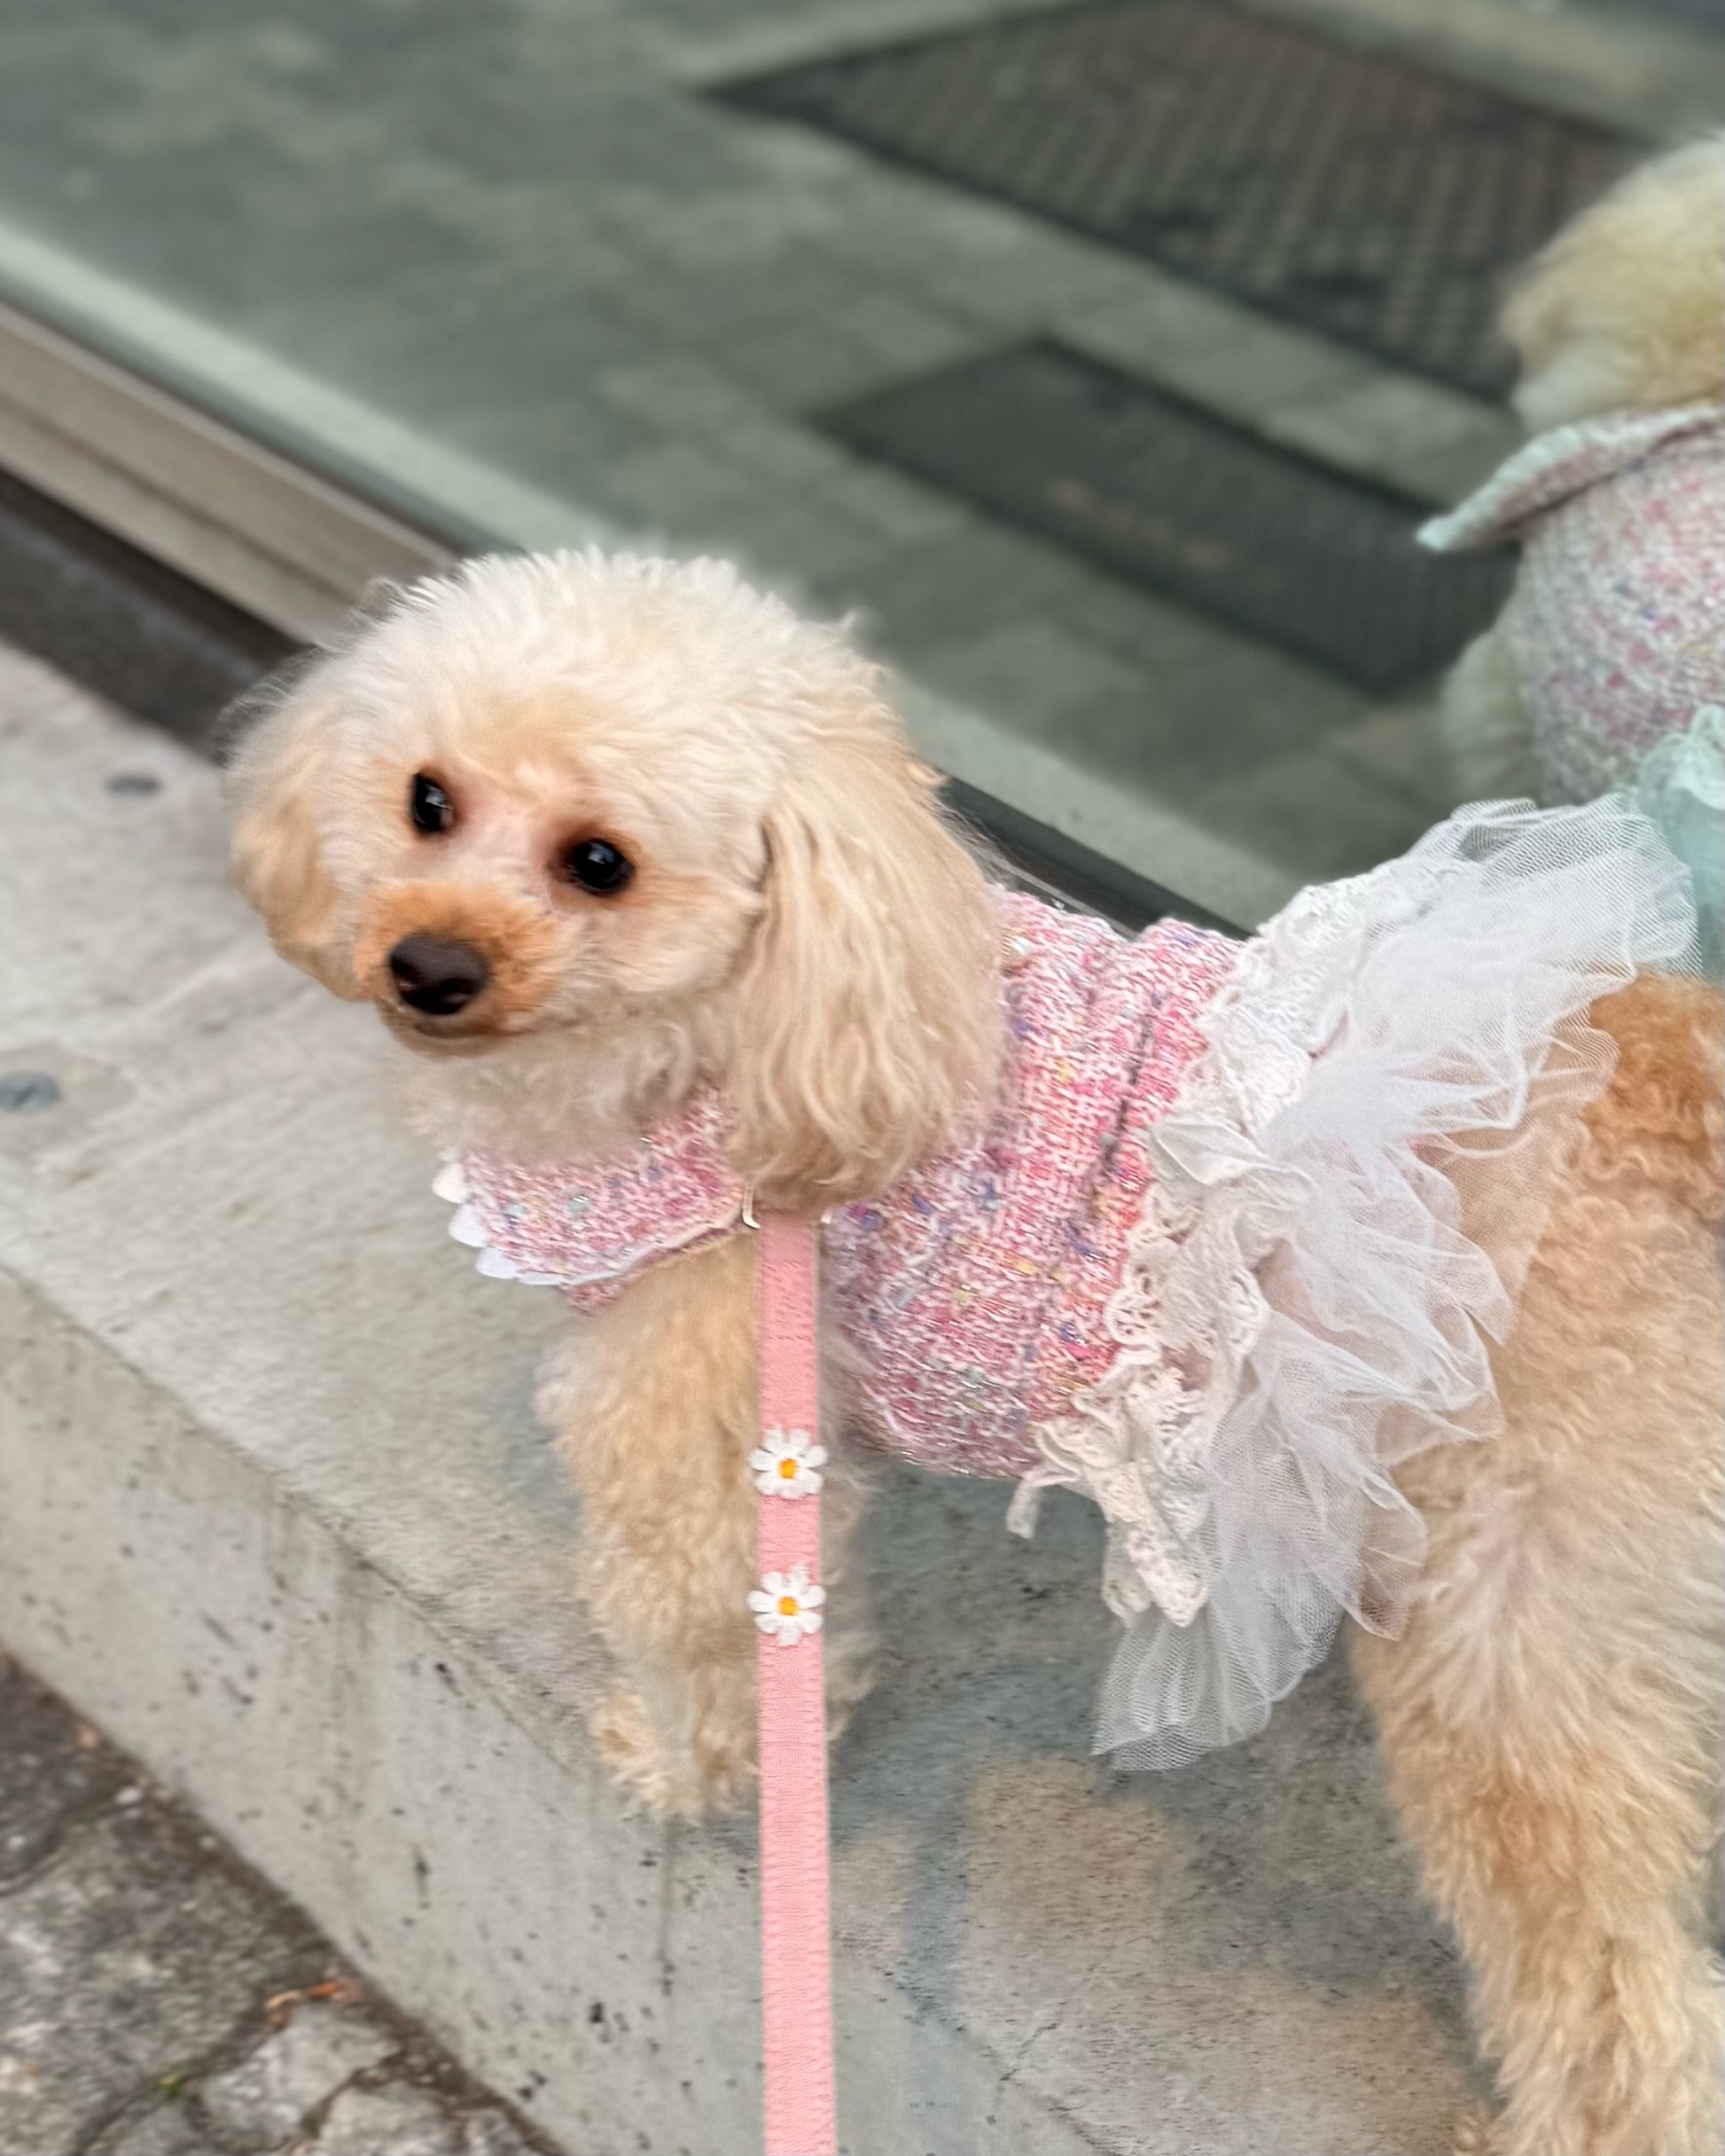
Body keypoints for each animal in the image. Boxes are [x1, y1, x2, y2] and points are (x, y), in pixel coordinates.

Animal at [226, 551, 1723, 2155]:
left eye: (601, 861)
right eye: (425, 800)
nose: (427, 963)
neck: (763, 1017)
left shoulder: (692, 1417)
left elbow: (692, 1620)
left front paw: (685, 1768)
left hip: (1513, 1623)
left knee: (1621, 1991)